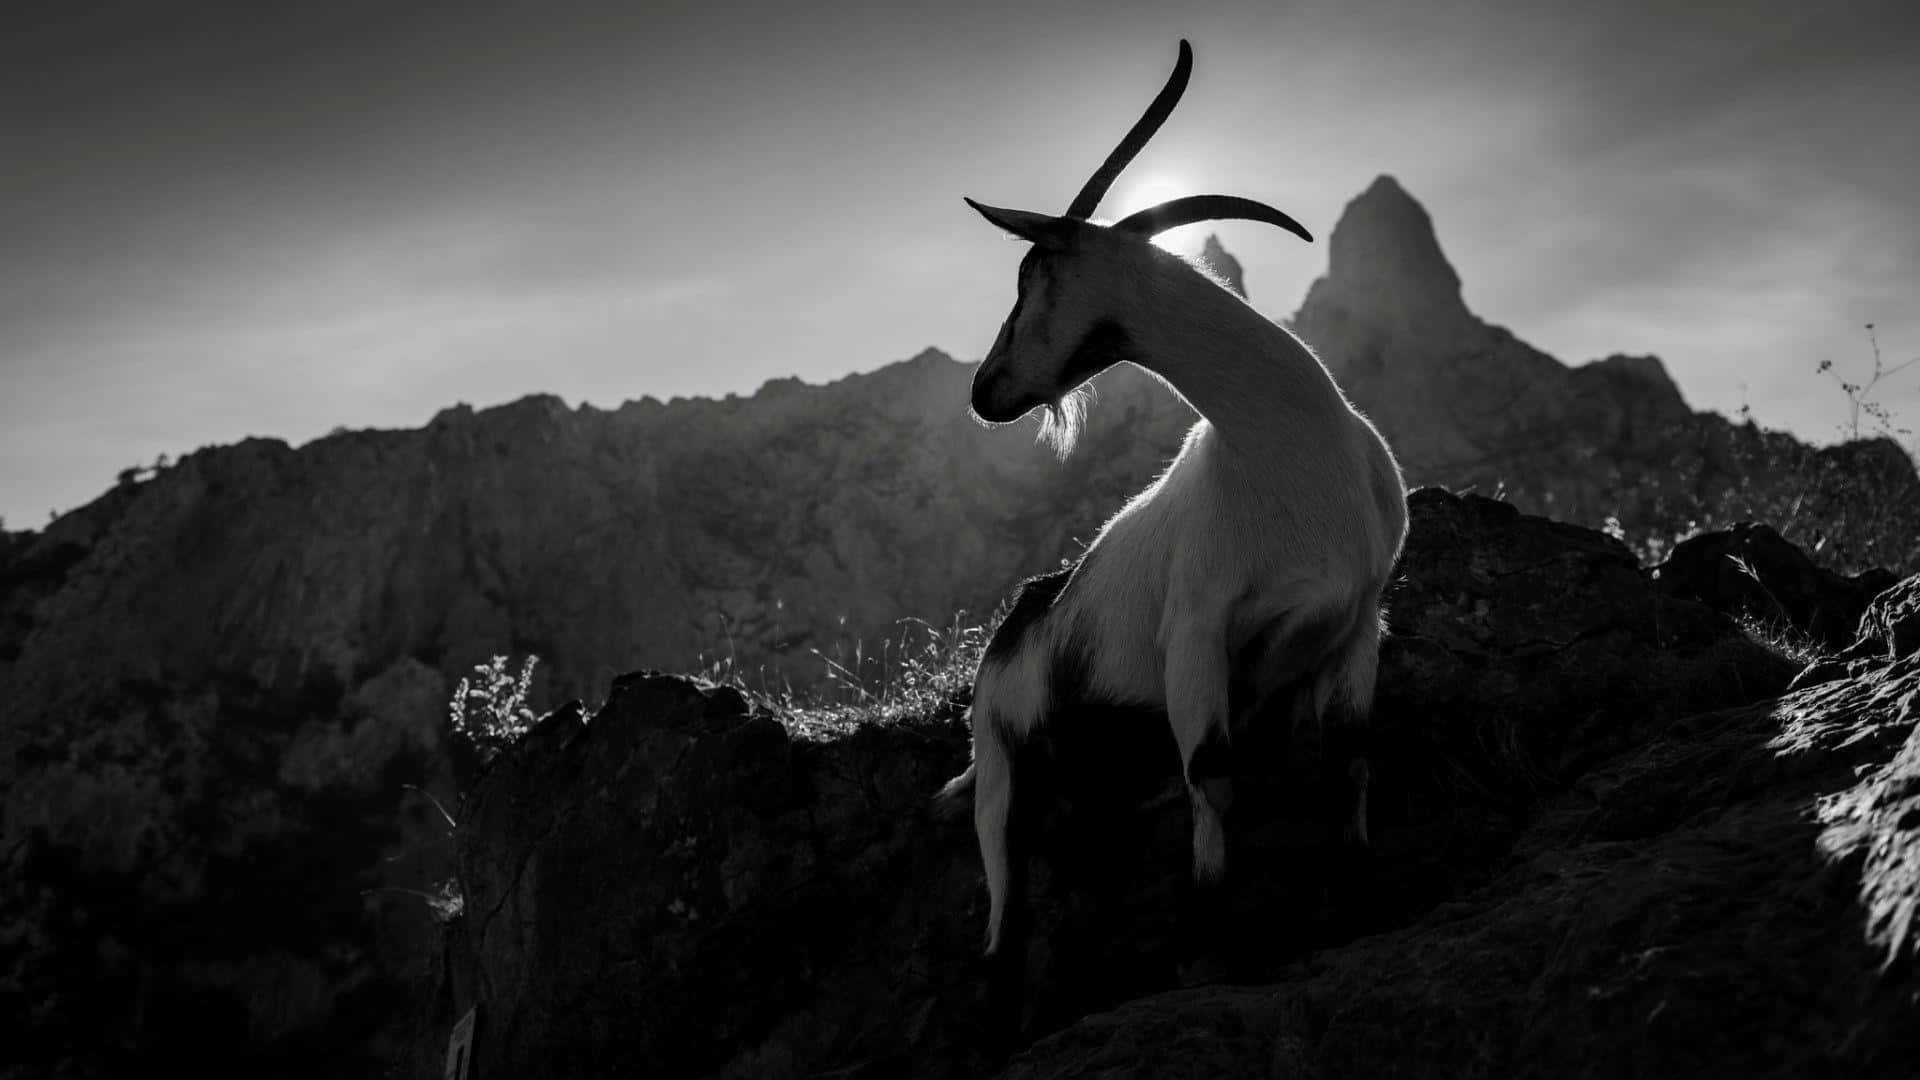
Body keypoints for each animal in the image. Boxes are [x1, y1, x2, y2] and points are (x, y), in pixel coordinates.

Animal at [936, 40, 1409, 959]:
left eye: (1030, 272)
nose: (984, 391)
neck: (1286, 456)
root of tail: (1018, 622)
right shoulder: (1196, 636)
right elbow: (1214, 785)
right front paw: (1222, 951)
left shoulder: (1355, 624)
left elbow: (1350, 763)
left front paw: (1362, 905)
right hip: (1002, 778)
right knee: (1004, 936)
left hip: (1098, 793)